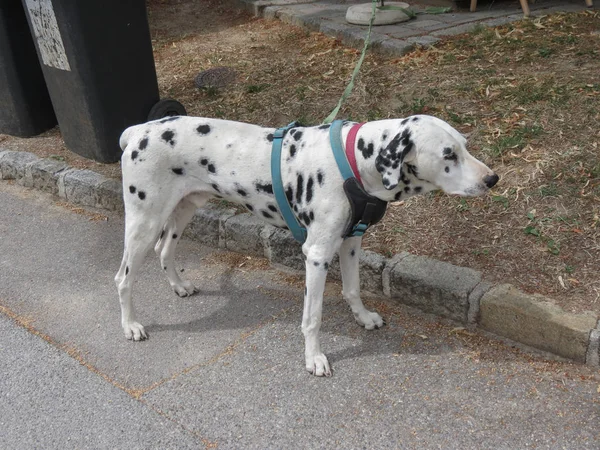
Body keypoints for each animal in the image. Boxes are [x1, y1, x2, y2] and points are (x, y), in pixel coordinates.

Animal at [116, 115, 496, 376]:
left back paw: (179, 286)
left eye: (465, 144)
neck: (355, 160)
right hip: (143, 223)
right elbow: (312, 317)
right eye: (448, 153)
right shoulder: (316, 256)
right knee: (123, 278)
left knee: (164, 251)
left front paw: (363, 317)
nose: (492, 179)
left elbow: (353, 289)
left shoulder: (351, 242)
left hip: (182, 211)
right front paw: (314, 358)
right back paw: (131, 325)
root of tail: (136, 130)